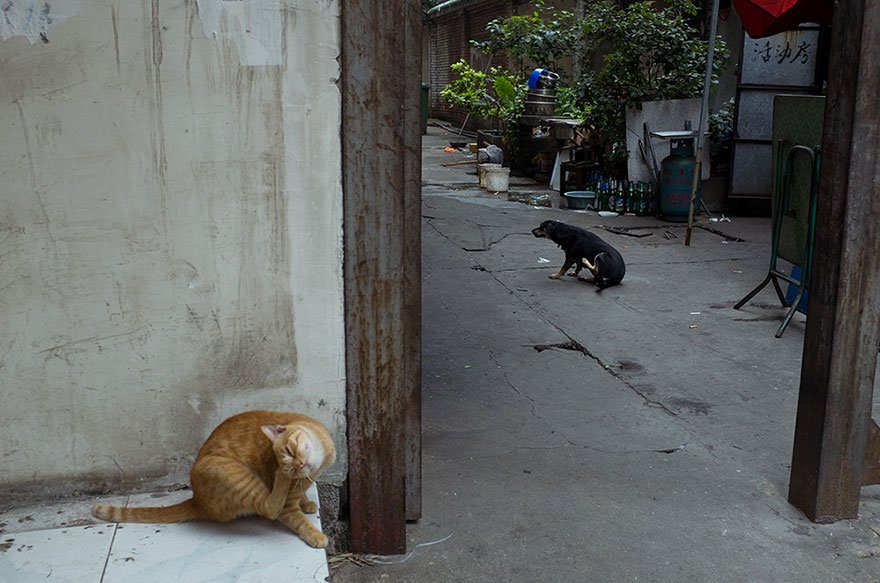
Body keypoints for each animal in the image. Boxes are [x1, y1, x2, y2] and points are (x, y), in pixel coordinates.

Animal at [92, 410, 334, 548]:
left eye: (290, 451)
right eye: (287, 460)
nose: (297, 466)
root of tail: (197, 500)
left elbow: (302, 497)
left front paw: (307, 502)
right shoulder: (287, 506)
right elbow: (296, 519)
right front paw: (315, 535)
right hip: (231, 473)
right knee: (269, 507)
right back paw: (278, 483)